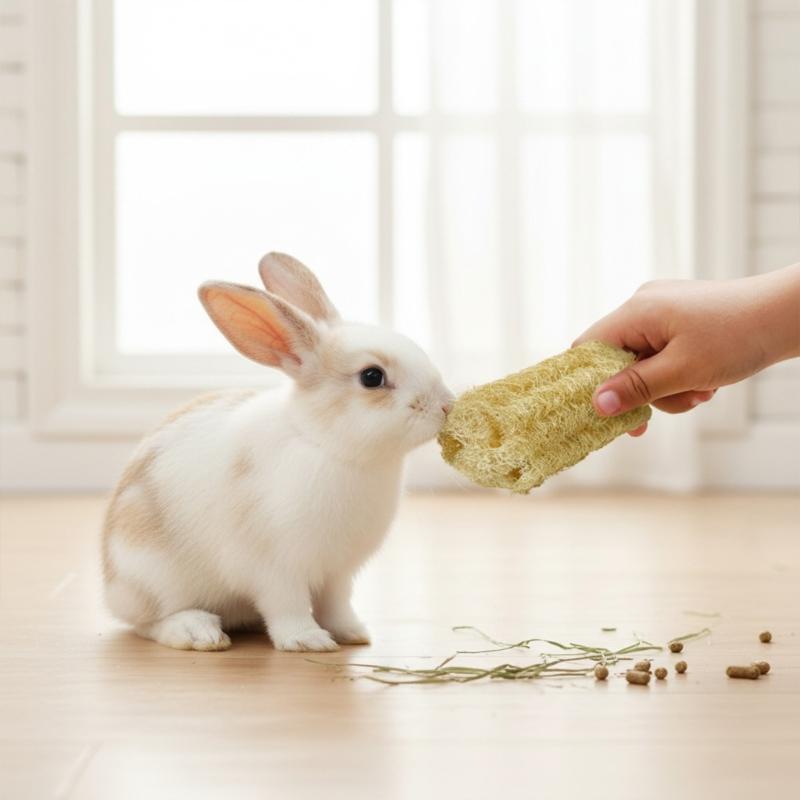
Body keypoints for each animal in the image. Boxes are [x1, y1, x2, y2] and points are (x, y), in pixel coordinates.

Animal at [102, 252, 453, 652]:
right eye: (372, 377)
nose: (447, 405)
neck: (325, 444)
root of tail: (111, 584)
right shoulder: (277, 570)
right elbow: (288, 606)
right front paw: (308, 641)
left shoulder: (338, 573)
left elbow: (337, 605)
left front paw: (353, 633)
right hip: (155, 578)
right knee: (147, 623)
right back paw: (199, 632)